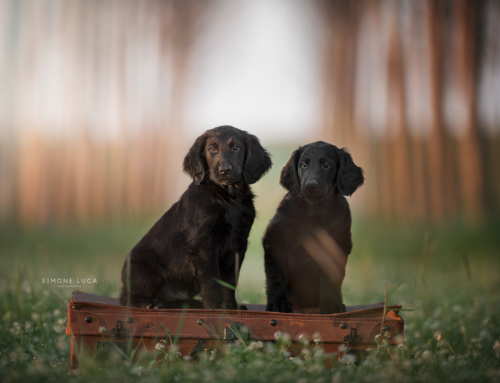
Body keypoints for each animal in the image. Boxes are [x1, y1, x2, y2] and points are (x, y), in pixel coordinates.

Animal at [119, 124, 272, 310]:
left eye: (236, 148)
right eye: (212, 149)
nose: (224, 170)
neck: (227, 197)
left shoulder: (239, 243)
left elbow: (230, 281)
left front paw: (231, 306)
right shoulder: (204, 245)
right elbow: (212, 281)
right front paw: (216, 307)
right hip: (141, 265)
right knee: (126, 297)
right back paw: (150, 303)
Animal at [262, 142, 364, 316]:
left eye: (326, 165)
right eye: (303, 165)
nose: (310, 185)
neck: (313, 211)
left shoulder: (337, 245)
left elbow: (331, 277)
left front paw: (332, 304)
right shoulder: (274, 240)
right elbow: (277, 276)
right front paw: (278, 303)